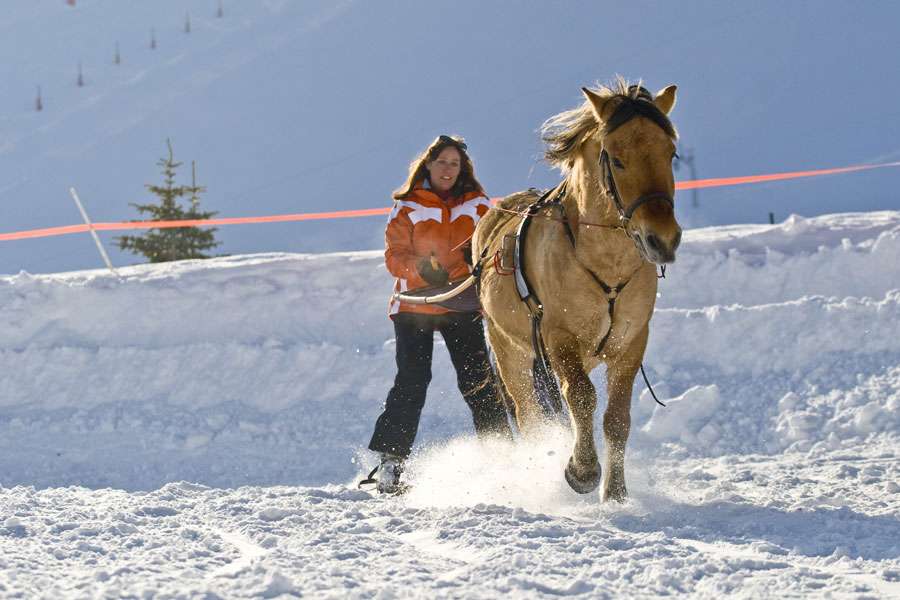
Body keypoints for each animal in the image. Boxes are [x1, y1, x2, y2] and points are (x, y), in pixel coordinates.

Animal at [474, 79, 680, 502]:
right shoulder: (559, 335)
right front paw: (582, 470)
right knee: (530, 411)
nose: (663, 239)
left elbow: (616, 417)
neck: (605, 263)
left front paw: (615, 491)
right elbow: (582, 397)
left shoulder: (632, 341)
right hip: (510, 350)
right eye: (617, 160)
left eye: (671, 154)